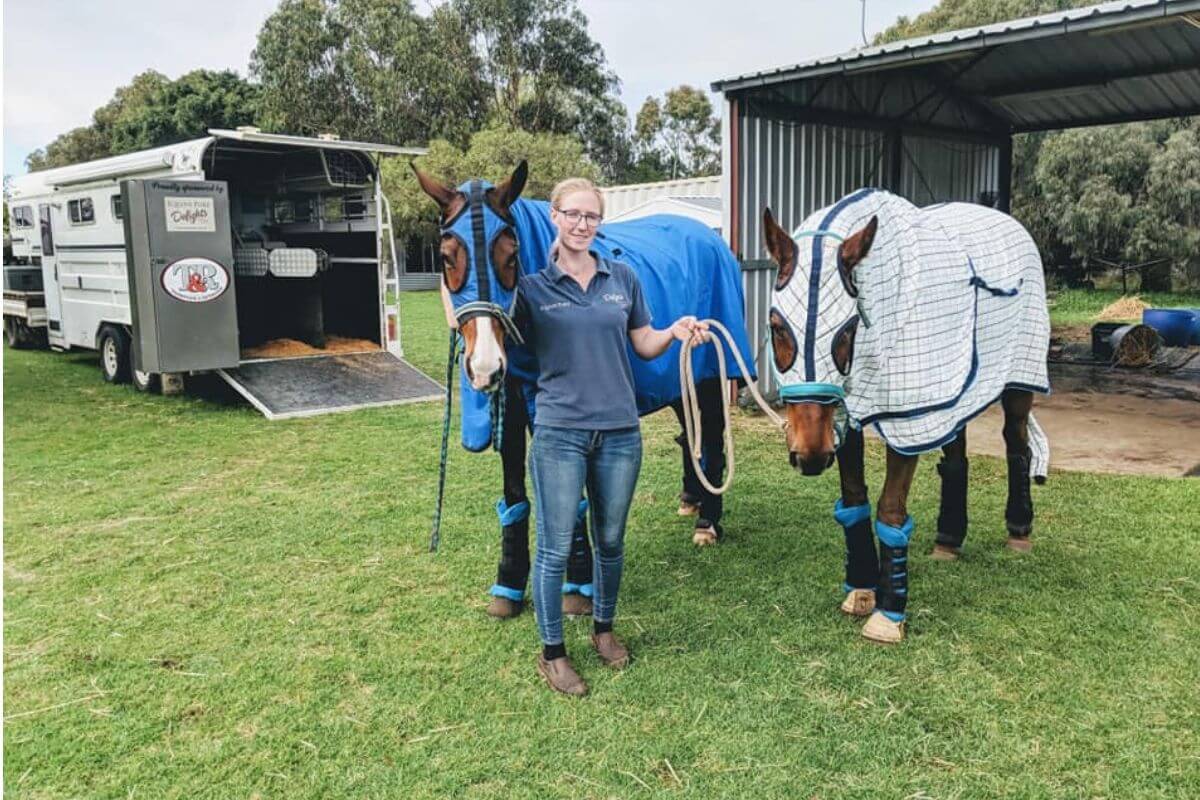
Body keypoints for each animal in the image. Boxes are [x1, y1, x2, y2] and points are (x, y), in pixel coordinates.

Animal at [417, 159, 753, 618]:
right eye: (448, 257)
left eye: (512, 256)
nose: (485, 367)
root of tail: (711, 240)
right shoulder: (512, 402)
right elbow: (515, 495)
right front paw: (508, 585)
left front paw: (577, 583)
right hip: (675, 377)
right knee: (691, 434)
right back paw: (692, 497)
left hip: (705, 374)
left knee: (713, 442)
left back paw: (708, 521)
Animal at [763, 185, 1056, 642]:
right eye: (777, 326)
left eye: (848, 330)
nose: (809, 456)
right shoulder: (847, 412)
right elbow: (855, 500)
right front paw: (861, 589)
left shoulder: (907, 414)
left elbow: (890, 510)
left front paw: (888, 613)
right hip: (952, 389)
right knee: (956, 452)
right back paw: (949, 539)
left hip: (1019, 380)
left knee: (1018, 444)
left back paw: (1019, 531)